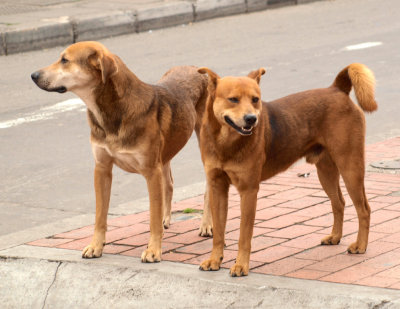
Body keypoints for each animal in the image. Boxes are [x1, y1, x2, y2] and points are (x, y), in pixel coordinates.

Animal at [30, 41, 212, 262]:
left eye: (65, 60)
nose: (33, 75)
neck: (113, 111)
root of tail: (197, 69)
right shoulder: (102, 169)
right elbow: (100, 215)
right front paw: (95, 246)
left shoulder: (151, 171)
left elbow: (152, 216)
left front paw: (153, 250)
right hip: (166, 152)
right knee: (169, 183)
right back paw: (166, 218)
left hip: (203, 145)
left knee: (208, 189)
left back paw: (206, 225)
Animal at [198, 63, 376, 276]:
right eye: (233, 99)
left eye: (255, 99)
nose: (251, 119)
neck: (225, 143)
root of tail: (337, 89)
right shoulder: (217, 188)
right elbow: (218, 232)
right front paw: (215, 260)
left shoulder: (249, 191)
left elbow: (244, 235)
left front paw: (241, 265)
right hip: (325, 172)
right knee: (339, 202)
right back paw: (335, 236)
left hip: (350, 167)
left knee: (364, 209)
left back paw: (361, 245)